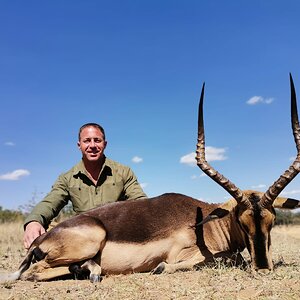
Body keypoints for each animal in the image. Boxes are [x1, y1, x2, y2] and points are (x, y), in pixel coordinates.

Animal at [0, 75, 300, 284]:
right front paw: (159, 268)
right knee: (33, 272)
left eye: (271, 221)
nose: (263, 267)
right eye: (241, 220)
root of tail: (41, 239)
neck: (208, 222)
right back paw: (92, 272)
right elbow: (225, 259)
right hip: (89, 240)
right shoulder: (185, 254)